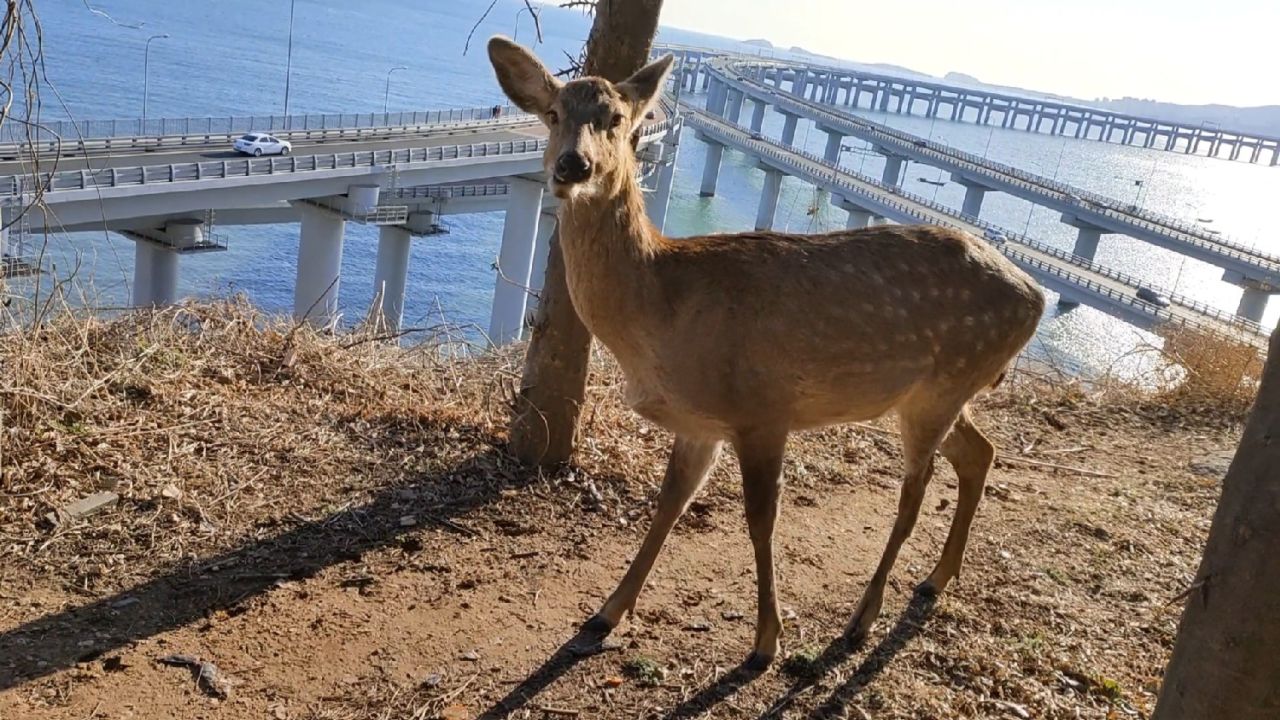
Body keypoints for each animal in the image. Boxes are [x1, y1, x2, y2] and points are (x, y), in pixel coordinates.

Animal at [483, 37, 1044, 666]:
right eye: (553, 114)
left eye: (618, 119)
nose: (572, 167)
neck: (661, 309)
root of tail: (1038, 296)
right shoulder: (699, 422)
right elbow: (669, 506)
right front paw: (605, 613)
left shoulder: (763, 410)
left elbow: (760, 521)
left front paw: (766, 640)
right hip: (937, 392)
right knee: (981, 452)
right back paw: (934, 580)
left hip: (945, 383)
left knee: (914, 493)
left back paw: (862, 619)